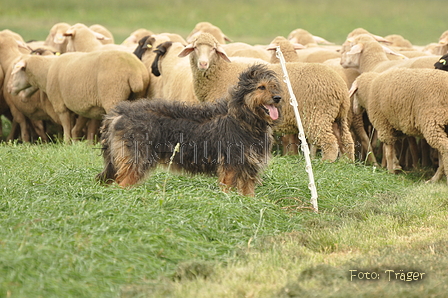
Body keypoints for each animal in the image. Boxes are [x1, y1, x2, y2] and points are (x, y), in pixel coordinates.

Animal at [9, 50, 150, 143]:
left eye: (14, 73)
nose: (9, 89)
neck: (46, 71)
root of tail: (136, 72)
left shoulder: (60, 104)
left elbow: (66, 125)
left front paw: (66, 143)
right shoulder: (86, 107)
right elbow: (77, 127)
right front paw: (76, 143)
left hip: (113, 96)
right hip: (136, 97)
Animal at [96, 63, 282, 196]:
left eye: (274, 86)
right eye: (261, 87)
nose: (278, 98)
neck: (244, 118)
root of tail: (118, 113)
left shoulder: (248, 168)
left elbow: (248, 194)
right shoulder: (231, 166)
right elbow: (227, 190)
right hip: (137, 160)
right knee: (121, 185)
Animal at [178, 32, 354, 162]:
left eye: (213, 49)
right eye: (195, 47)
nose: (203, 64)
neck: (221, 73)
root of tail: (340, 88)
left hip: (318, 114)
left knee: (330, 141)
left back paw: (326, 163)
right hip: (338, 117)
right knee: (346, 141)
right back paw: (346, 163)